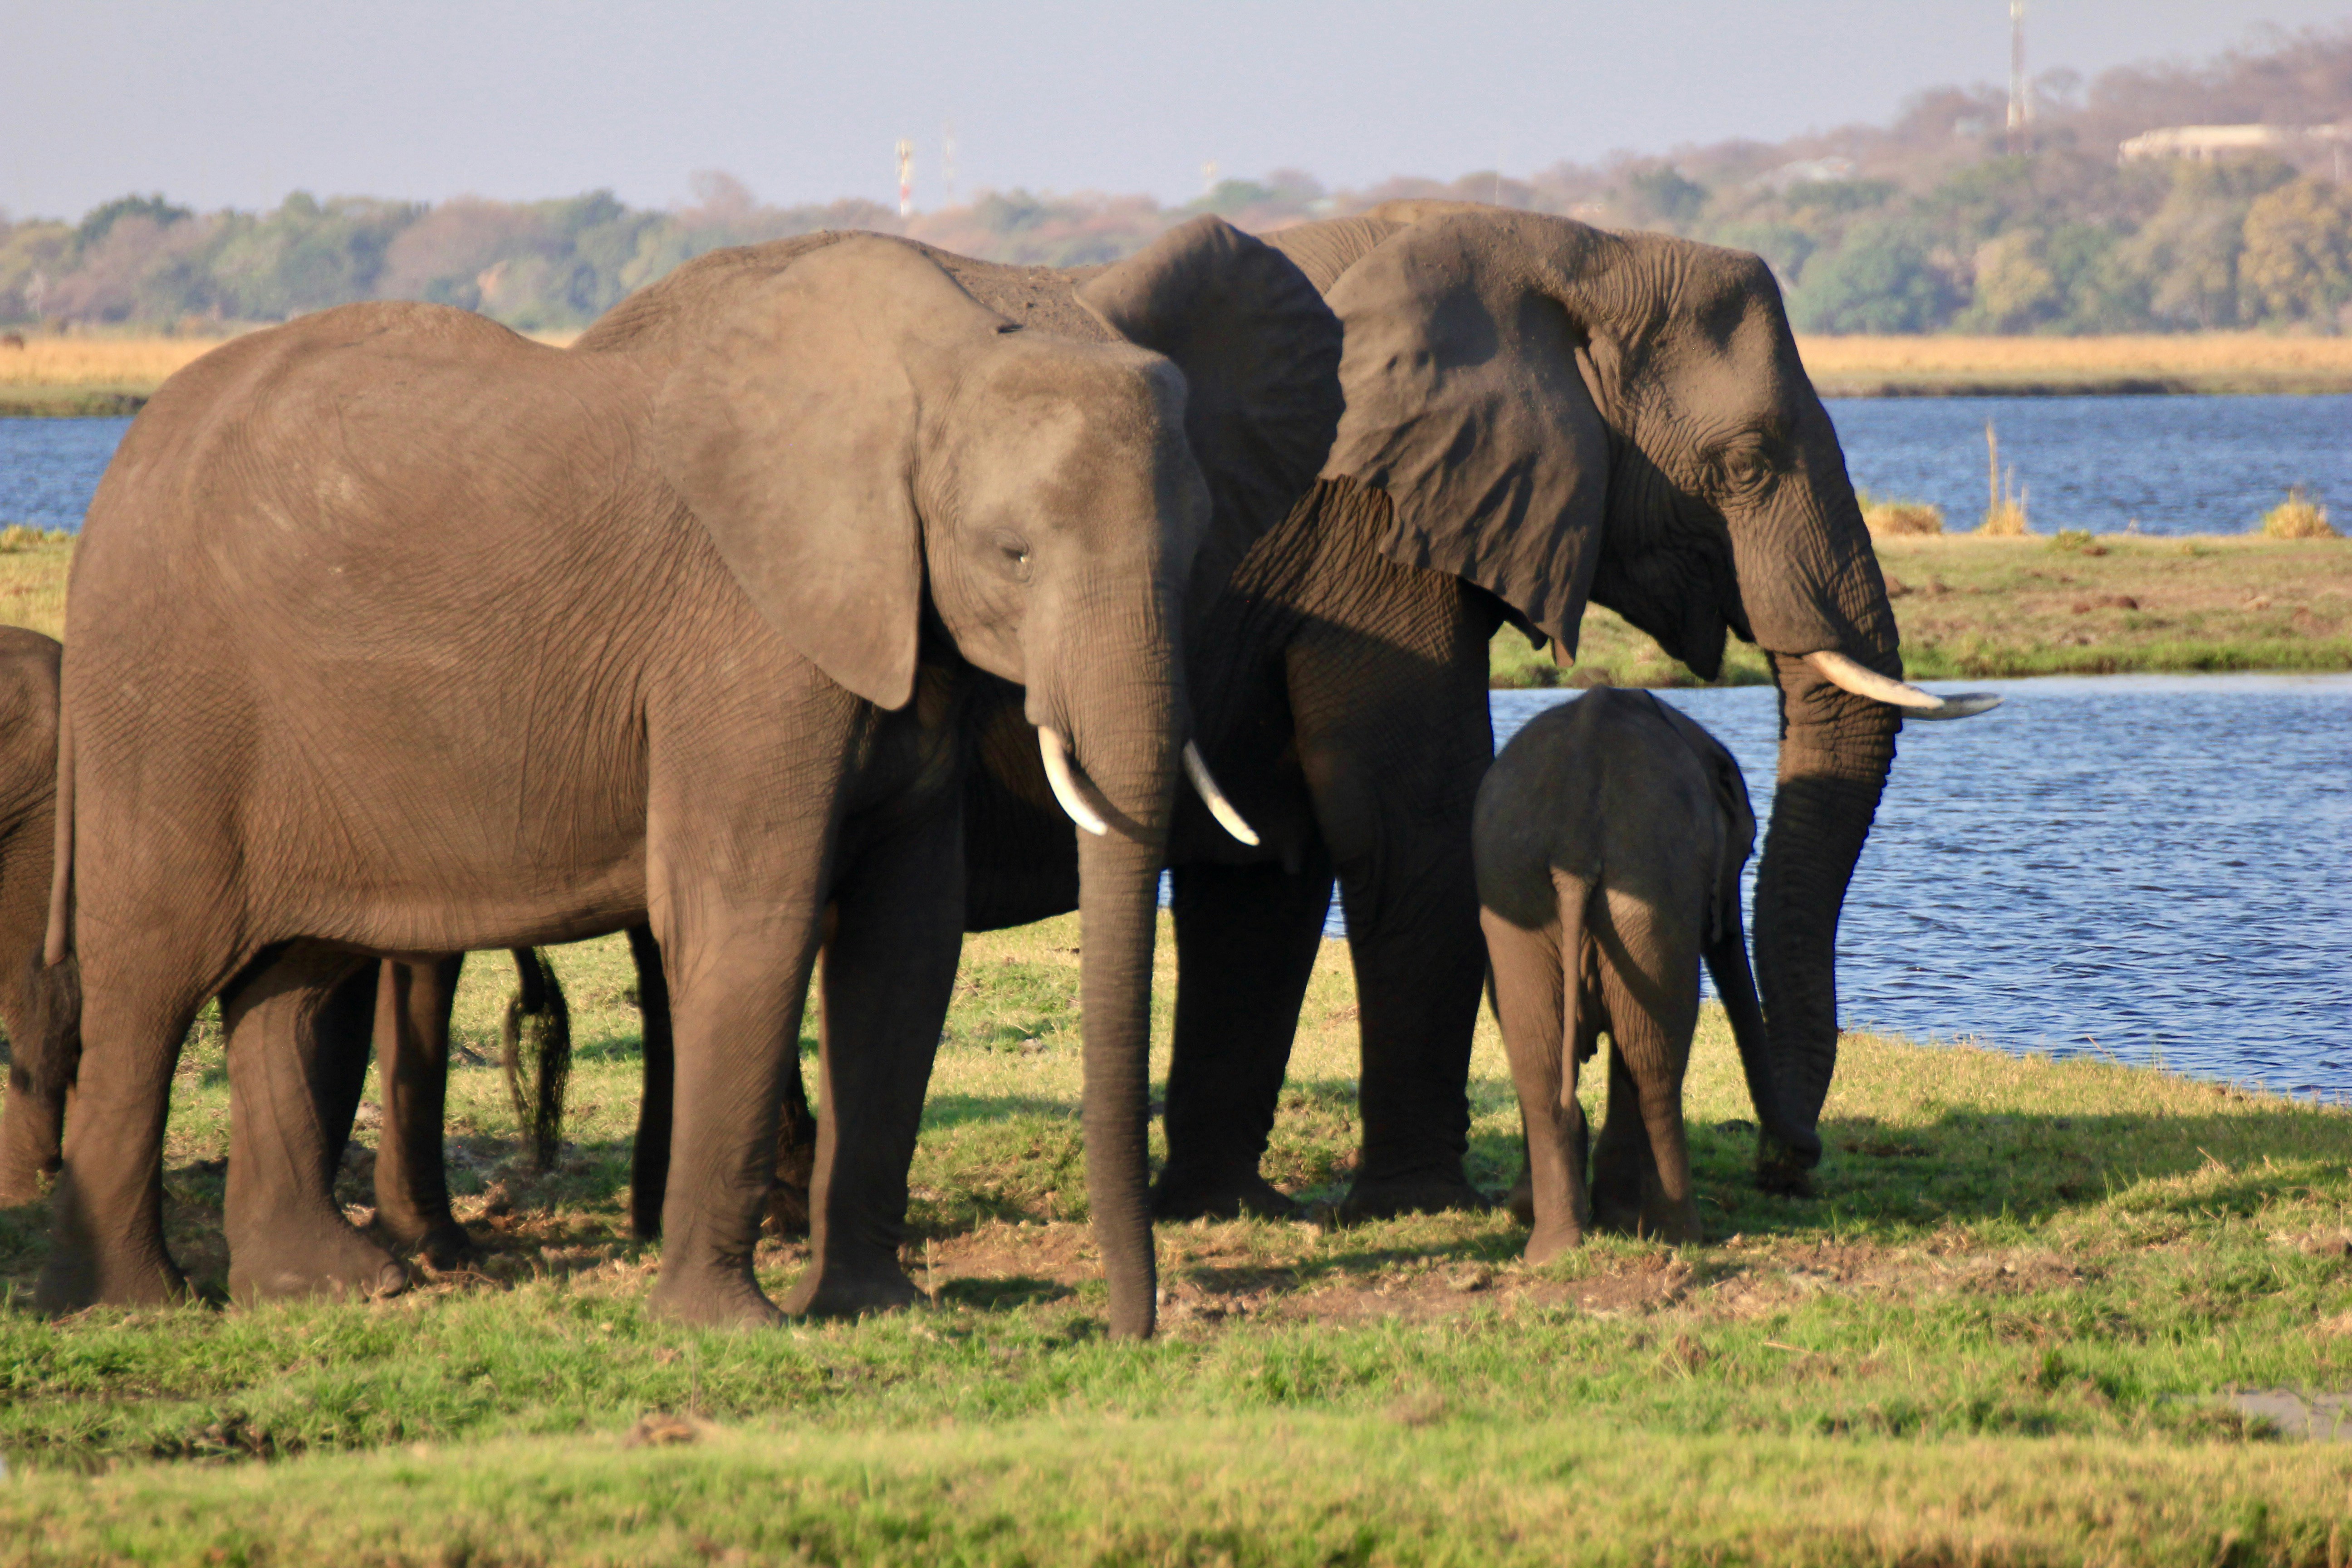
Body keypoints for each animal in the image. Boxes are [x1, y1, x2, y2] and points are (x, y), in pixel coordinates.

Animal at [38, 214, 1341, 1340]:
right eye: (1011, 556)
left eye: (1196, 551)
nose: (1129, 1328)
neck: (952, 334)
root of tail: (114, 478)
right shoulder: (744, 636)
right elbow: (750, 917)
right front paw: (730, 1326)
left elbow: (905, 941)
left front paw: (875, 1308)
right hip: (163, 702)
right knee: (155, 971)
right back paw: (126, 1308)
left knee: (297, 973)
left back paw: (328, 1288)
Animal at [1474, 688, 1794, 1256]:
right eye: (1746, 851)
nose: (1793, 1167)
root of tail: (1574, 847)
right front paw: (1622, 1219)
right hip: (1648, 890)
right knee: (1655, 1061)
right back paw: (1680, 1236)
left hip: (1518, 894)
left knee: (1538, 1058)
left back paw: (1552, 1248)